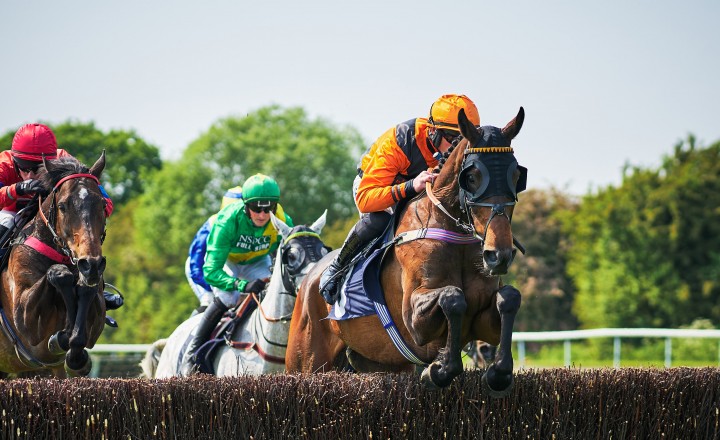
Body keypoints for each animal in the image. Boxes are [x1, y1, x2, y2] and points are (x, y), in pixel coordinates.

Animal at [0, 154, 108, 378]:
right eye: (63, 206)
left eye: (102, 204)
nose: (91, 264)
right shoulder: (24, 323)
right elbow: (58, 273)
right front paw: (63, 337)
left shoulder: (97, 320)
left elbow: (85, 292)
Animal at [286, 107, 528, 396]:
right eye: (471, 178)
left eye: (516, 177)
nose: (498, 255)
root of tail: (310, 278)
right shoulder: (414, 321)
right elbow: (453, 297)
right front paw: (439, 370)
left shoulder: (484, 320)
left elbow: (509, 298)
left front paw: (498, 373)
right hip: (305, 361)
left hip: (380, 362)